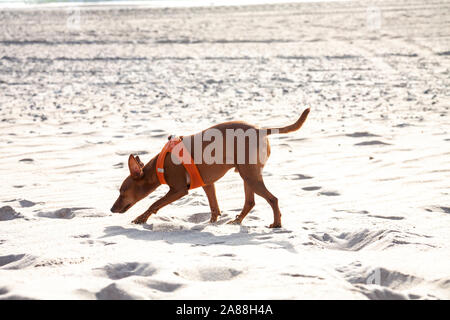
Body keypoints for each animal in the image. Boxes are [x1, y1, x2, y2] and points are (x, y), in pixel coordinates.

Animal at [111, 109, 310, 229]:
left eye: (122, 192)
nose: (112, 209)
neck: (159, 165)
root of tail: (260, 130)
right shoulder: (208, 184)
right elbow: (214, 208)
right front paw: (211, 223)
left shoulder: (179, 190)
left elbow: (154, 204)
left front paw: (141, 219)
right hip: (247, 175)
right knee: (250, 202)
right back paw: (237, 220)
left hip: (250, 176)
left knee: (272, 199)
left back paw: (276, 224)